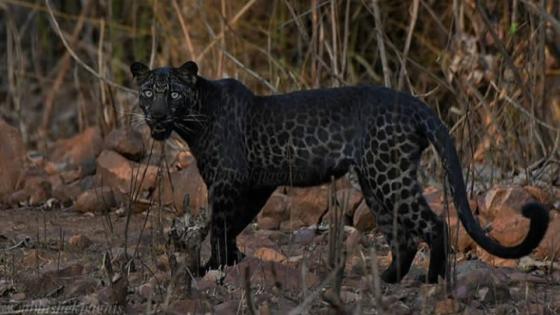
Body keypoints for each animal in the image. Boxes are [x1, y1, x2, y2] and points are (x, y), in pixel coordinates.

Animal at [130, 61, 548, 284]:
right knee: (403, 237)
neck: (193, 121)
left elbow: (219, 225)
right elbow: (233, 224)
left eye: (174, 93)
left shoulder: (227, 182)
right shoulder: (256, 185)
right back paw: (386, 279)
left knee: (434, 224)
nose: (157, 115)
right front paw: (230, 261)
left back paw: (432, 280)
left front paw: (211, 267)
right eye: (148, 92)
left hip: (389, 177)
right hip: (375, 182)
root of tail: (415, 104)